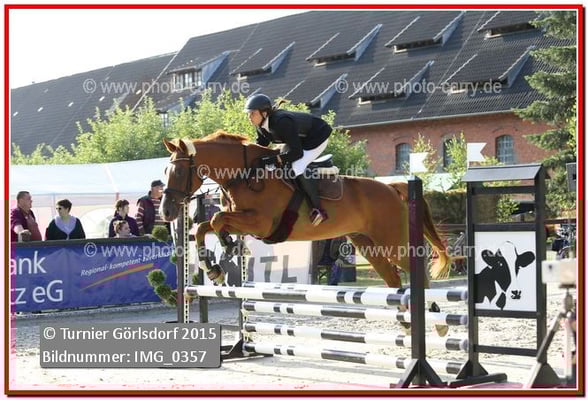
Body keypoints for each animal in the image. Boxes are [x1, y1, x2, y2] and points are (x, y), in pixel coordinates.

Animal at [160, 131, 451, 292]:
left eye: (180, 171)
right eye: (166, 171)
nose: (166, 212)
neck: (243, 174)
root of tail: (392, 188)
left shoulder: (260, 223)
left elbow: (218, 219)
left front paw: (227, 246)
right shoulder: (243, 221)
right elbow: (203, 226)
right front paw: (213, 268)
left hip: (393, 243)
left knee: (419, 275)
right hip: (367, 244)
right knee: (393, 279)